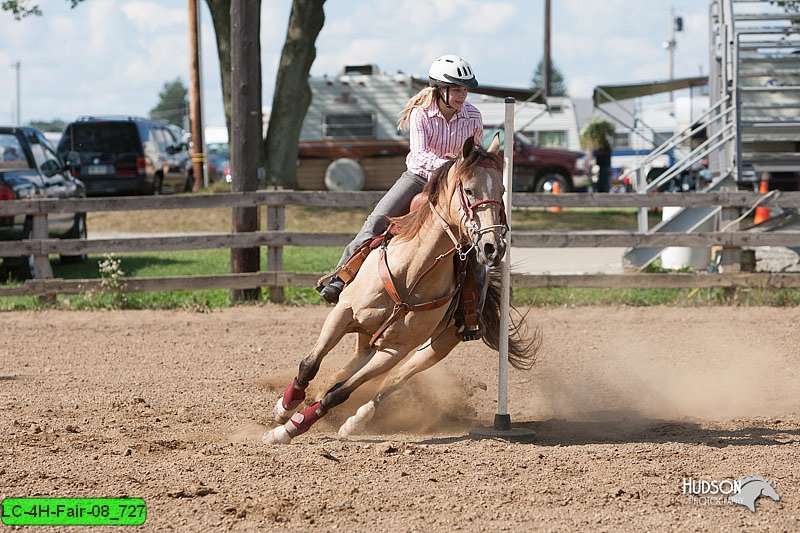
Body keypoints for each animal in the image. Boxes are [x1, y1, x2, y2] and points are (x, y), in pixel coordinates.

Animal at [266, 135, 540, 442]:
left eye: (503, 190)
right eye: (469, 190)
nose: (494, 247)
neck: (412, 272)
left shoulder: (394, 349)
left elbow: (339, 392)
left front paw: (290, 429)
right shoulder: (343, 313)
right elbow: (310, 363)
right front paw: (285, 408)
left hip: (435, 347)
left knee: (391, 380)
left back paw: (356, 421)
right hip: (367, 335)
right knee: (349, 366)